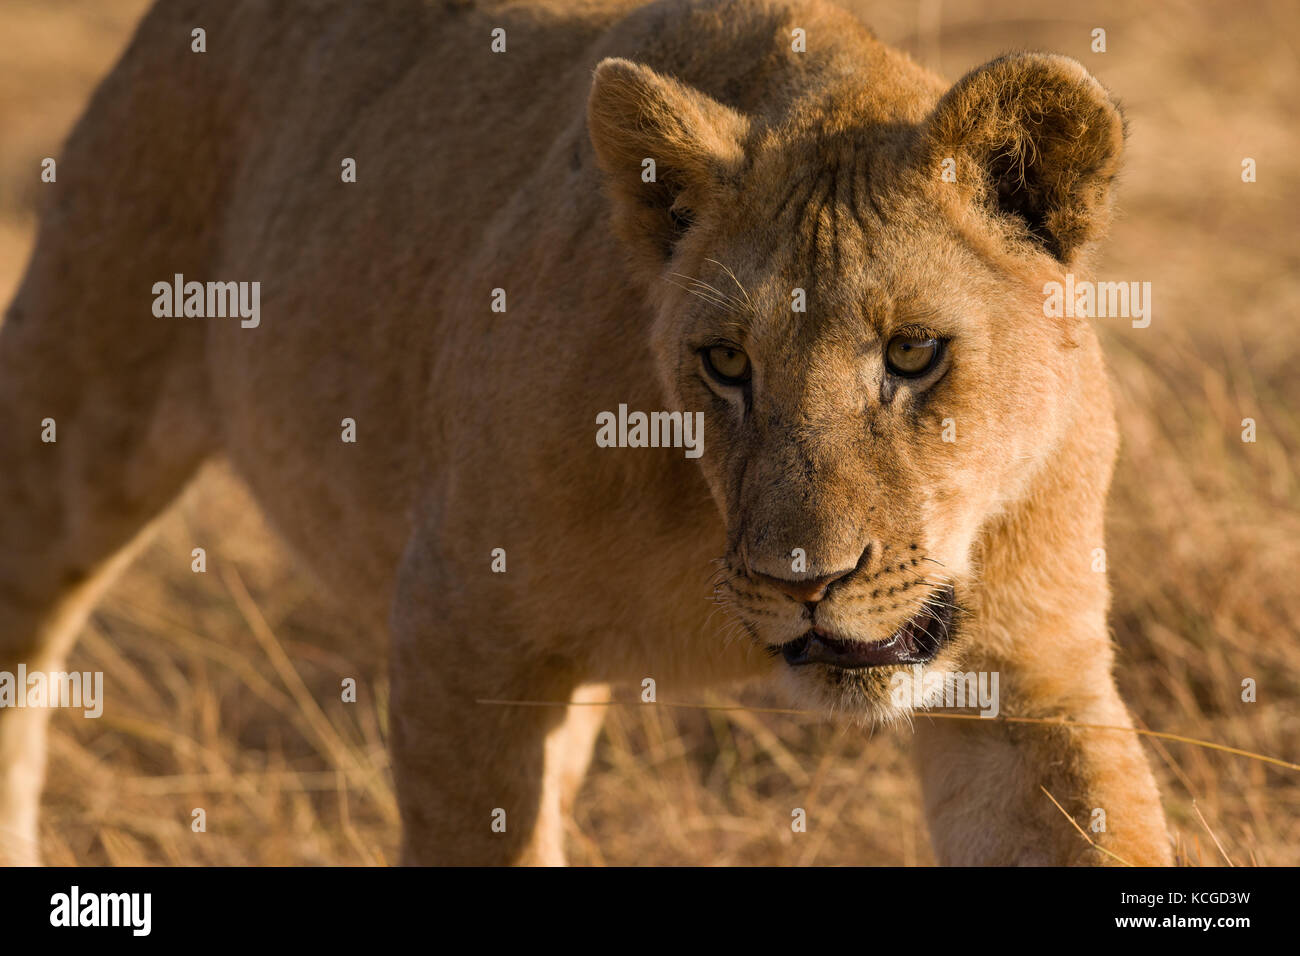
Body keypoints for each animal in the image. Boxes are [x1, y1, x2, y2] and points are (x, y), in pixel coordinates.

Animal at [0, 0, 1172, 865]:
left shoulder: (1030, 680)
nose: (802, 582)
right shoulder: (456, 624)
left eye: (915, 351)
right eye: (726, 363)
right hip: (75, 391)